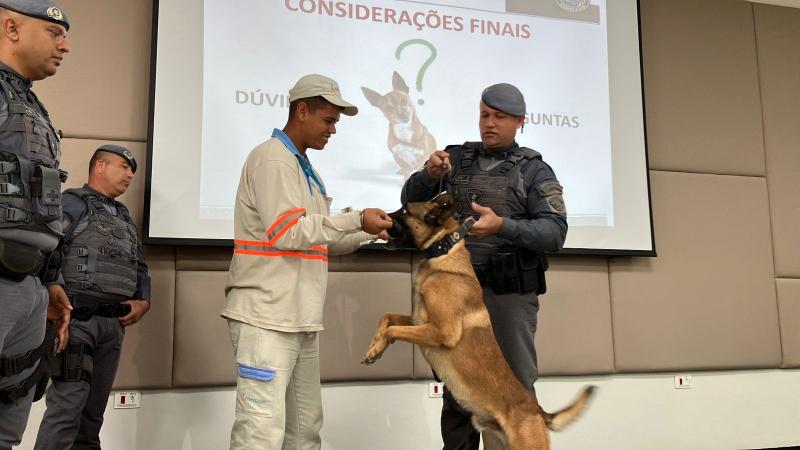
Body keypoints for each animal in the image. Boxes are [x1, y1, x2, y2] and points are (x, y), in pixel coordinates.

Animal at [362, 192, 592, 450]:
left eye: (403, 211)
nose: (378, 216)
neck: (443, 250)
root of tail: (539, 412)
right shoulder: (420, 320)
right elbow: (387, 317)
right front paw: (373, 346)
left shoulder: (442, 332)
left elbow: (393, 330)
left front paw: (376, 349)